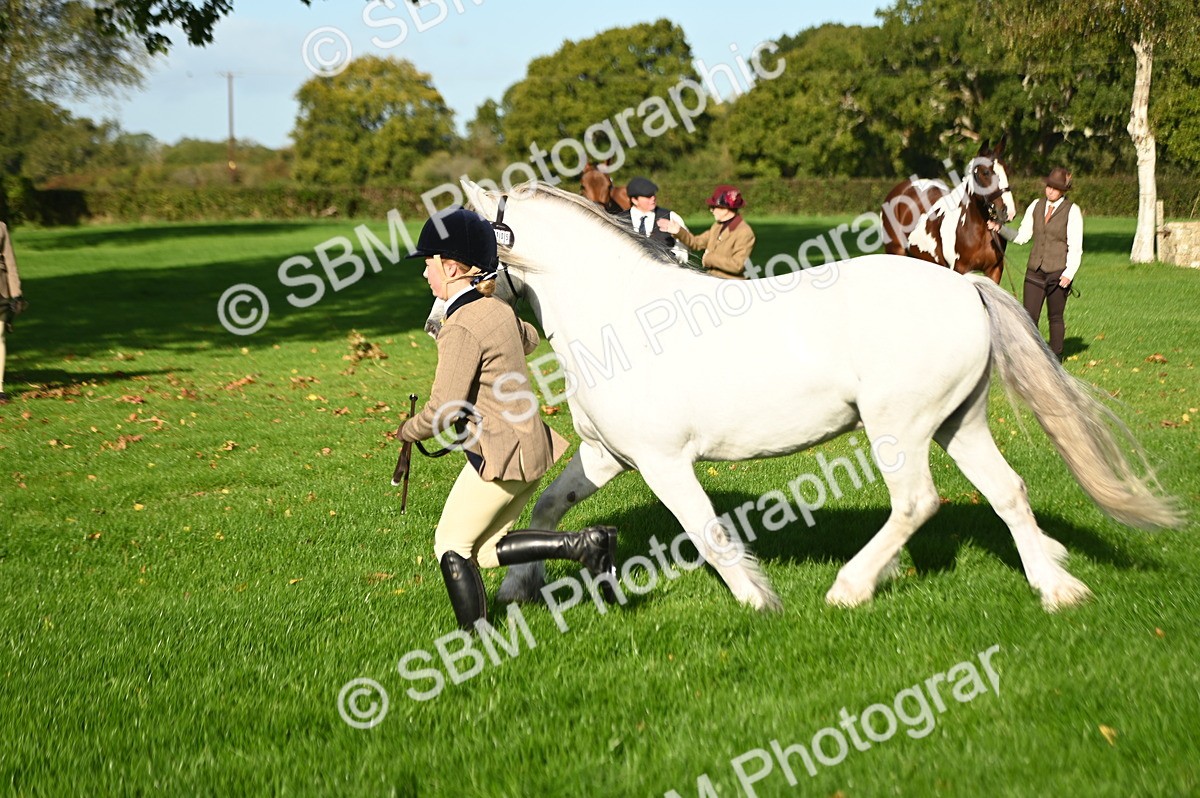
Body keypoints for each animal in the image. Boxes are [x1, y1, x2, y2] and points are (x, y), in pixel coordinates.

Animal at [422, 179, 1180, 614]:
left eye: (464, 251)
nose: (435, 323)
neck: (622, 317)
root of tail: (964, 286)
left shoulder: (665, 462)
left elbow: (707, 531)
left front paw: (757, 600)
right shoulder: (610, 455)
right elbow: (548, 506)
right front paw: (517, 586)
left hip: (899, 426)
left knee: (918, 503)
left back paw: (850, 587)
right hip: (958, 423)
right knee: (1008, 491)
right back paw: (1057, 589)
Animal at [881, 141, 1015, 284]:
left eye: (1007, 170)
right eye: (985, 172)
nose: (1008, 211)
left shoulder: (995, 271)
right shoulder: (960, 269)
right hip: (895, 251)